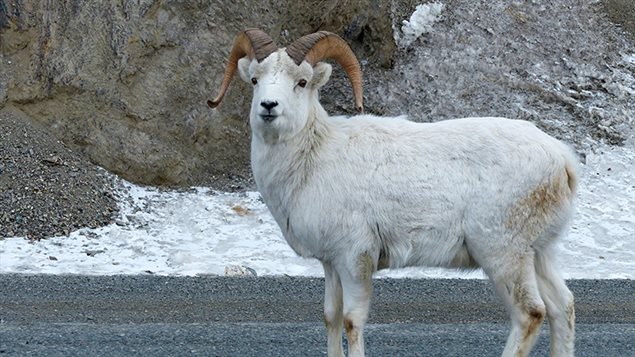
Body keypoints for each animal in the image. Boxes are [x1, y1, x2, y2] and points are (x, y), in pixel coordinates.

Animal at [210, 28, 580, 356]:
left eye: (300, 82)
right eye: (255, 79)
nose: (269, 106)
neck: (313, 158)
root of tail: (562, 161)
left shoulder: (355, 258)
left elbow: (351, 321)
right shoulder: (331, 263)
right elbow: (330, 317)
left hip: (503, 254)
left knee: (530, 313)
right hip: (539, 253)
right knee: (562, 306)